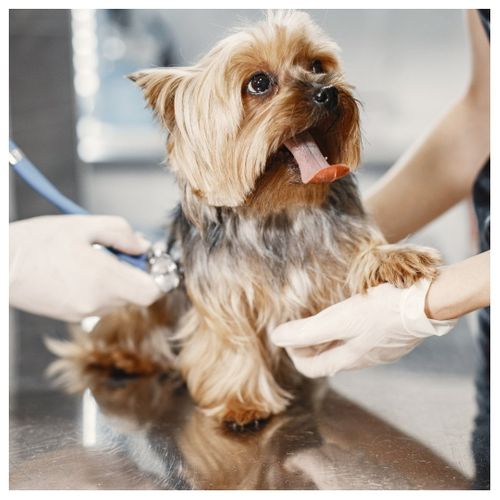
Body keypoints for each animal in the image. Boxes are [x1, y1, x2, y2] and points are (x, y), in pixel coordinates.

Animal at [47, 10, 438, 430]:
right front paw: (241, 402)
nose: (328, 92)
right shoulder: (224, 295)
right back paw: (122, 356)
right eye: (259, 83)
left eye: (317, 65)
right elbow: (231, 342)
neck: (277, 212)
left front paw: (393, 258)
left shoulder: (332, 263)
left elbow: (359, 258)